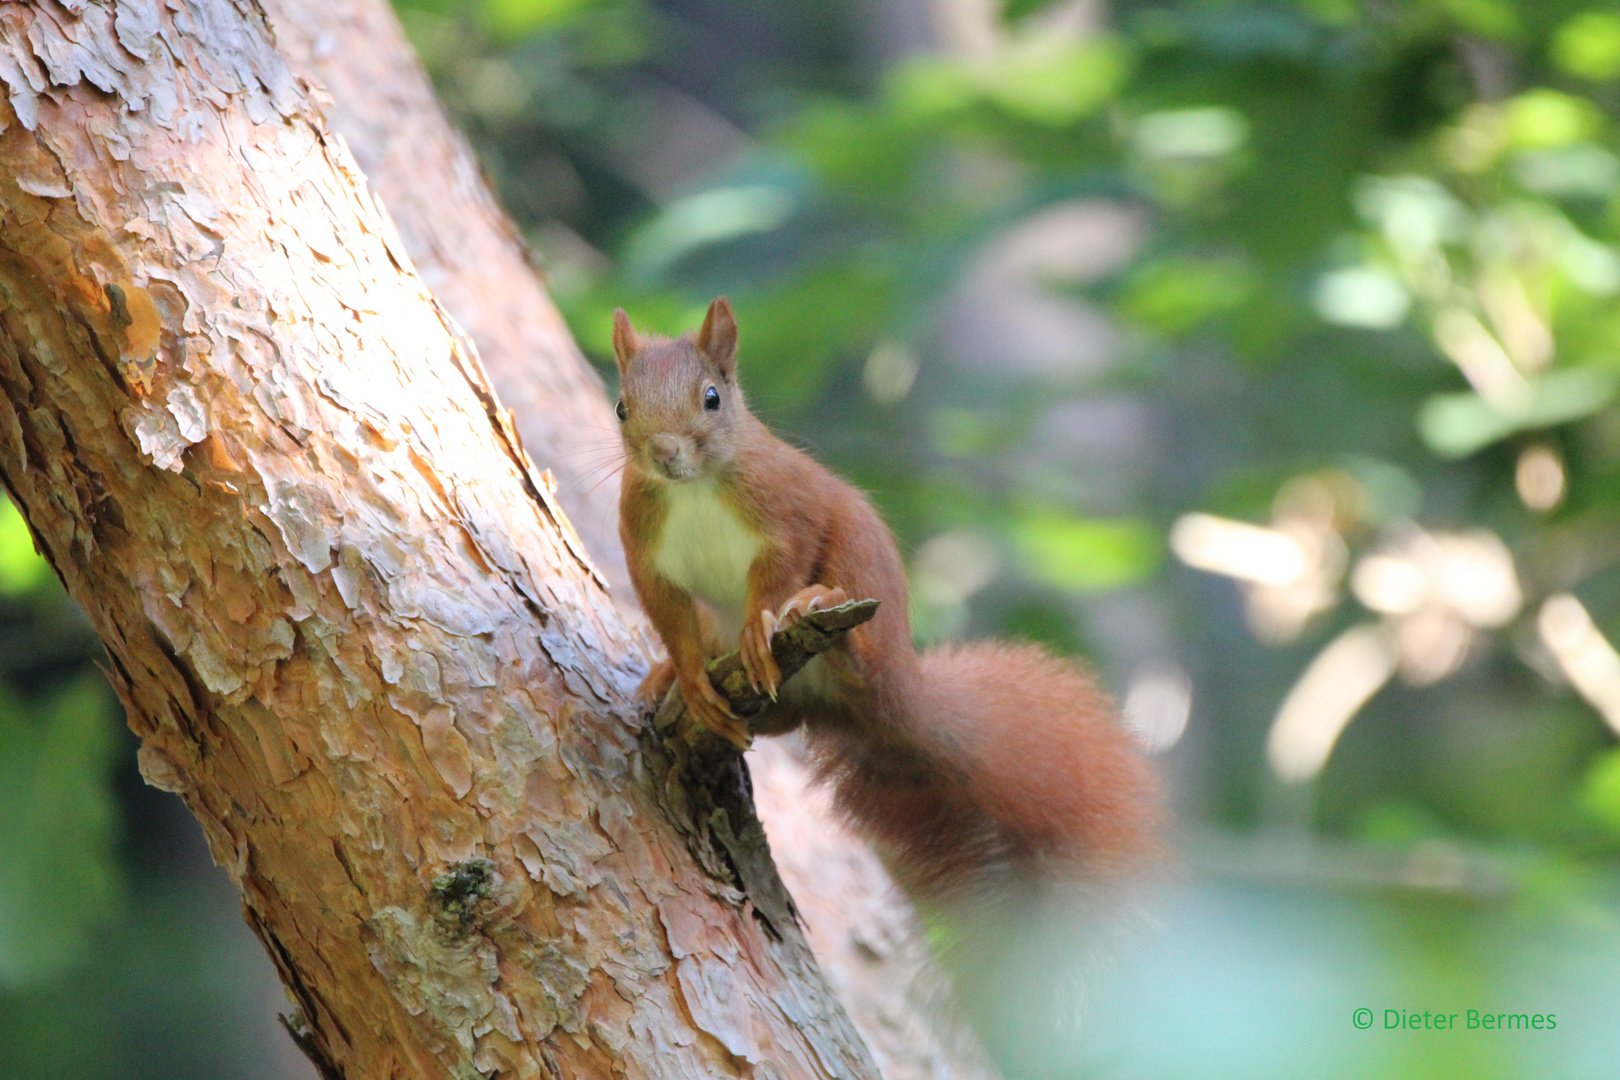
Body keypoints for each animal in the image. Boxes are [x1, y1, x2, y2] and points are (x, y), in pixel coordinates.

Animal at [612, 297, 1159, 906]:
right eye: (622, 408)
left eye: (711, 397)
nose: (663, 451)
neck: (692, 489)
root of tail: (902, 689)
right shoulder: (645, 550)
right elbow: (668, 615)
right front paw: (686, 676)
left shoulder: (789, 507)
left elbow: (781, 568)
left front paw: (758, 630)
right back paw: (668, 680)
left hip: (859, 549)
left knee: (861, 660)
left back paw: (822, 613)